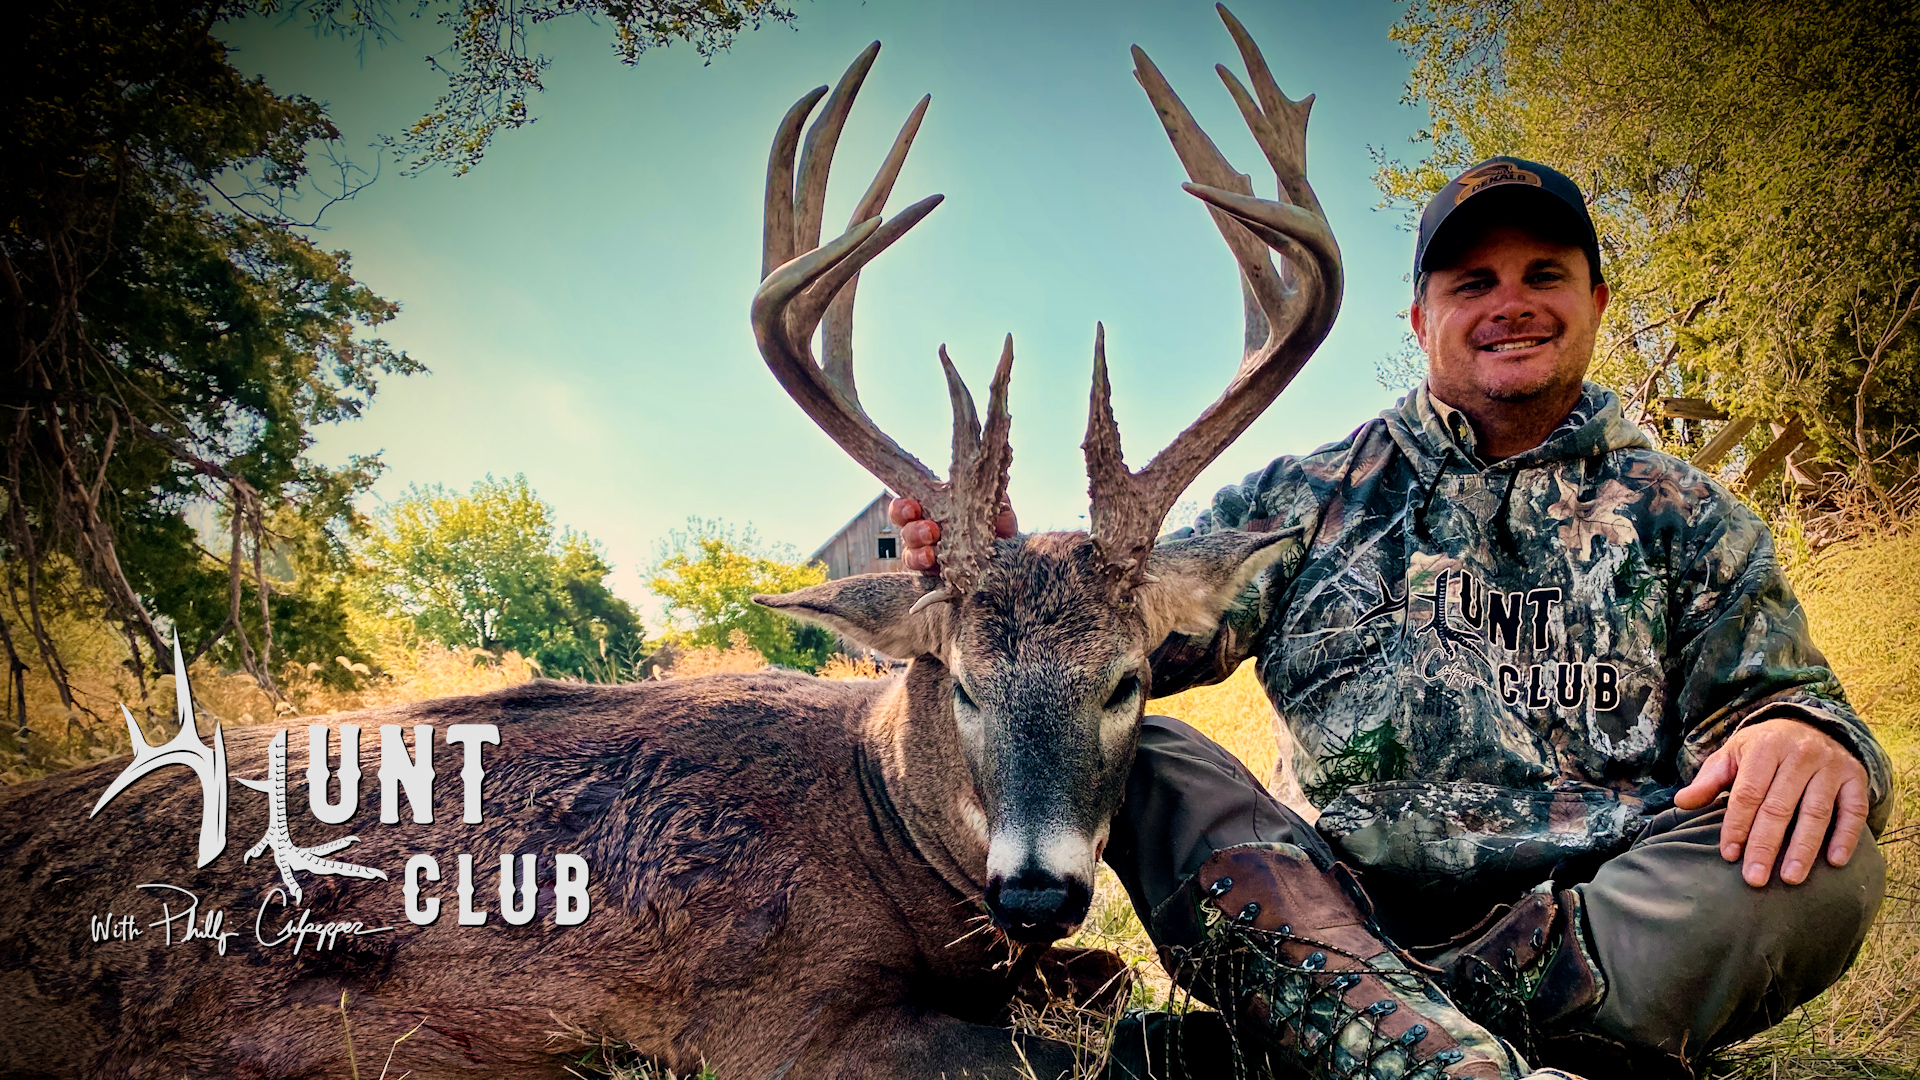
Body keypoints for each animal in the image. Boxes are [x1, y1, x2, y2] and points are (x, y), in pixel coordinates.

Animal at [0, 8, 1340, 1078]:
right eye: (959, 681)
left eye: (1127, 680)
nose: (1035, 890)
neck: (881, 821)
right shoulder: (772, 1013)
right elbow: (1083, 1040)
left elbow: (1103, 993)